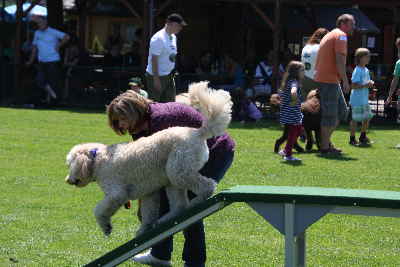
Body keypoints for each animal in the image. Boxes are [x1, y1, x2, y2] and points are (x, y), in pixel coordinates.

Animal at [65, 81, 231, 237]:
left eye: (69, 165)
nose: (67, 180)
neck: (97, 159)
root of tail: (198, 132)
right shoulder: (148, 193)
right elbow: (148, 214)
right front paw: (143, 230)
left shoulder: (116, 193)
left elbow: (99, 210)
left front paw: (106, 227)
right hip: (173, 178)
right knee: (179, 205)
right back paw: (166, 219)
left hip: (178, 171)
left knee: (207, 186)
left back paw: (195, 202)